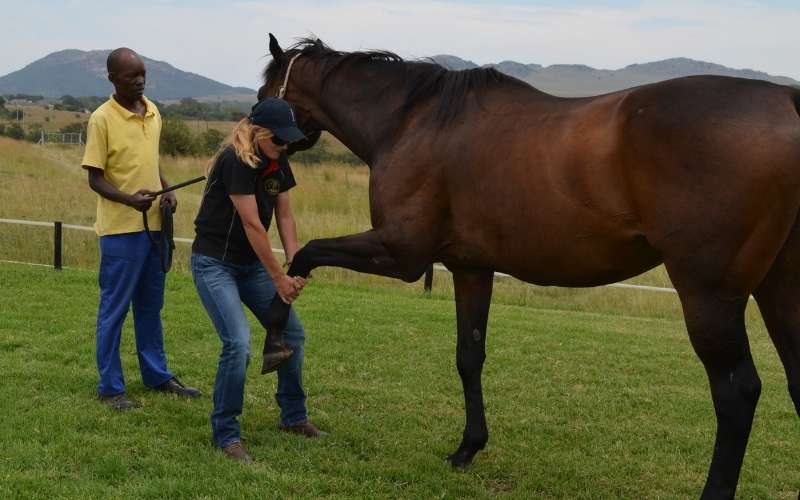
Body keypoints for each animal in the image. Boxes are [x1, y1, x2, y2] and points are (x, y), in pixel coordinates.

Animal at [257, 35, 800, 498]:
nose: (259, 150)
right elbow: (468, 356)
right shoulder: (470, 269)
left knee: (736, 393)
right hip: (779, 289)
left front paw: (275, 343)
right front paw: (467, 447)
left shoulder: (401, 253)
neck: (413, 122)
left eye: (264, 92)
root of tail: (786, 102)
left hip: (710, 295)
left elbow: (305, 255)